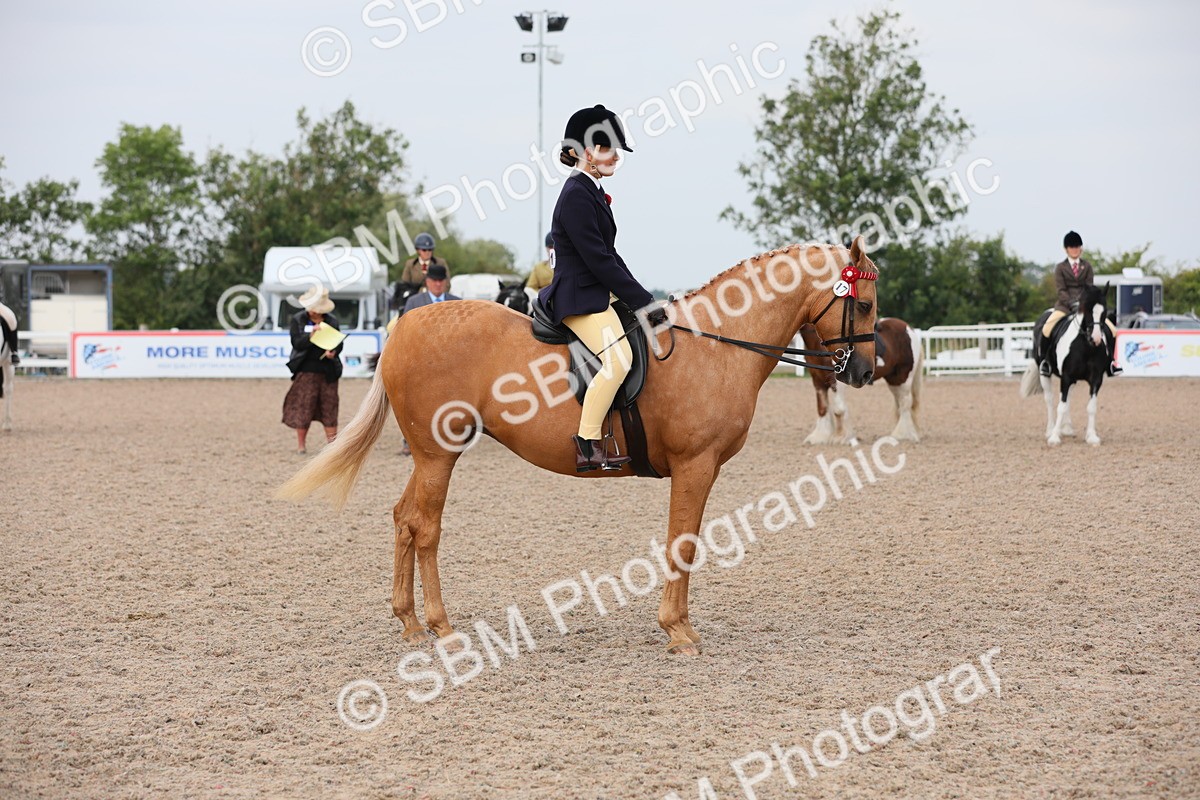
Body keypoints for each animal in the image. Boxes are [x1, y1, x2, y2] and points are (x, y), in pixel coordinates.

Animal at [278, 238, 879, 656]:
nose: (867, 372)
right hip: (438, 454)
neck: (715, 345)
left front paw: (680, 626)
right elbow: (682, 543)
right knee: (425, 526)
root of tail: (406, 325)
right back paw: (442, 626)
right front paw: (678, 632)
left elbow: (682, 543)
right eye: (869, 305)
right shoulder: (696, 466)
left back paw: (408, 622)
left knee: (405, 519)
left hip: (429, 455)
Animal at [798, 317, 923, 446]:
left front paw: (840, 437)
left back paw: (902, 435)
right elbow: (822, 408)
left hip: (904, 378)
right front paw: (820, 436)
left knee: (905, 403)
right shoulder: (817, 380)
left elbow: (838, 409)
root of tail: (909, 329)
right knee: (900, 403)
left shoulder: (837, 381)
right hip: (894, 380)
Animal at [1020, 284, 1113, 446]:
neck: (1086, 347)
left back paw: (1067, 428)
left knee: (1068, 397)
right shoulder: (1067, 376)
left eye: (1104, 311)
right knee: (1050, 399)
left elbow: (1091, 407)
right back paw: (1051, 430)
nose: (1095, 339)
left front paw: (1091, 436)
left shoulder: (1095, 379)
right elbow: (1061, 407)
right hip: (1044, 372)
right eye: (1086, 310)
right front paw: (1054, 437)